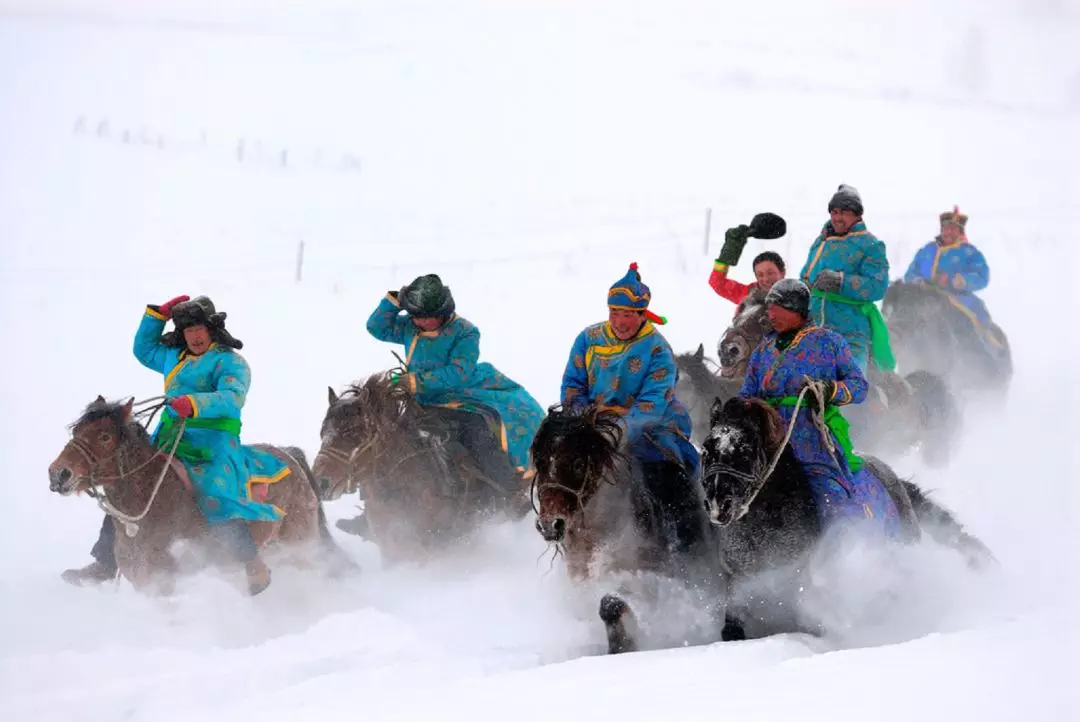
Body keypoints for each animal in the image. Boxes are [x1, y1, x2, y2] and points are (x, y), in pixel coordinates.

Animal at [529, 403, 725, 656]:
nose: (550, 525)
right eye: (540, 463)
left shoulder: (643, 580)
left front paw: (622, 647)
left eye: (578, 463)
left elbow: (610, 605)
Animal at [699, 397, 993, 638]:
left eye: (745, 449)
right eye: (706, 448)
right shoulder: (740, 581)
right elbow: (732, 627)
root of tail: (894, 480)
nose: (717, 505)